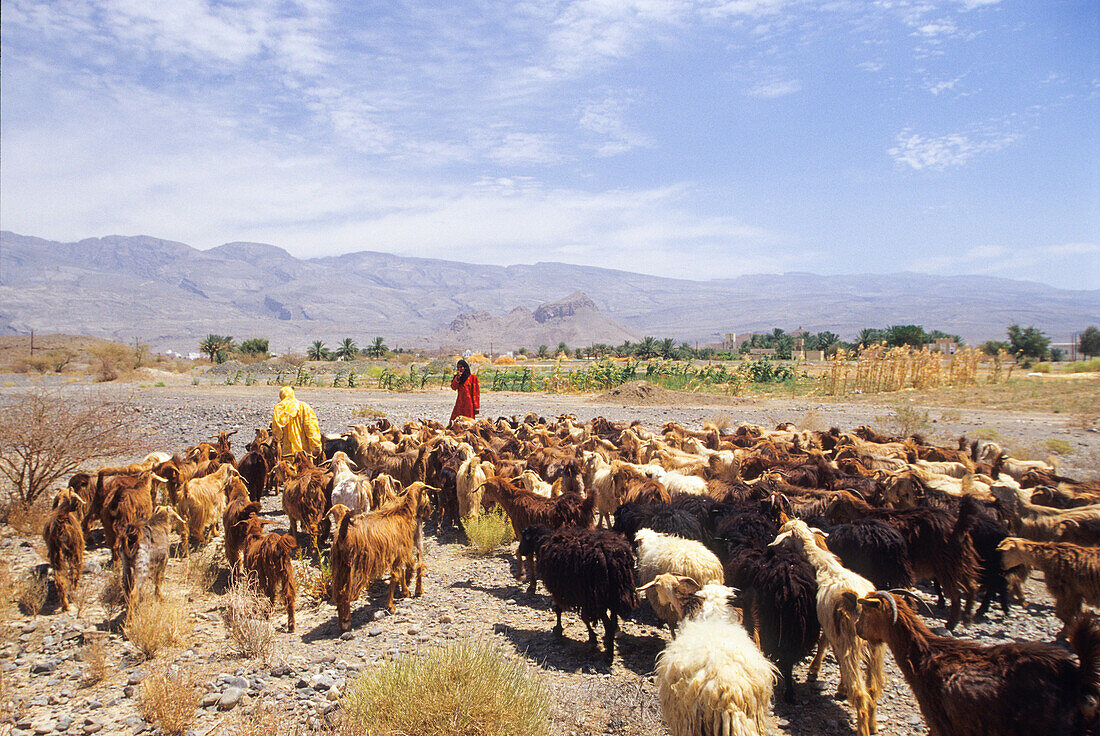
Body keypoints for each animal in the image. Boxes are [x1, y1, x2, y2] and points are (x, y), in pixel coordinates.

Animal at [519, 525, 642, 664]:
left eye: (524, 537)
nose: (521, 551)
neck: (543, 541)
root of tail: (612, 557)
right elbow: (583, 617)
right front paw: (592, 636)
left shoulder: (559, 589)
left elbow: (560, 610)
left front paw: (558, 630)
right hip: (613, 595)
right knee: (614, 622)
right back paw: (607, 642)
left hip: (598, 598)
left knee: (609, 624)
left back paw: (608, 656)